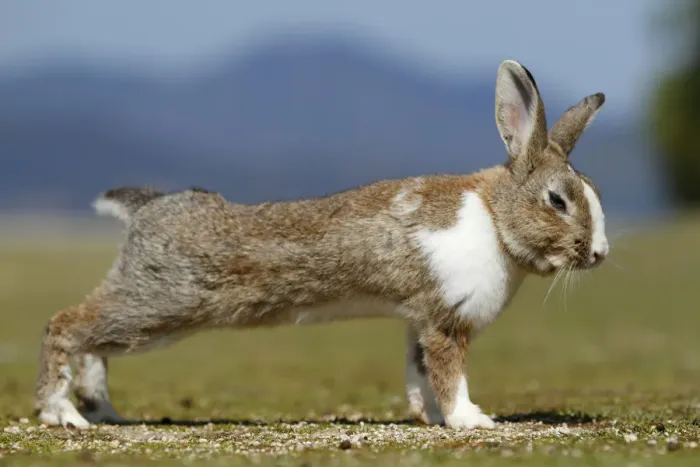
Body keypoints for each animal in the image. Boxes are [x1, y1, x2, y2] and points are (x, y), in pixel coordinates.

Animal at [34, 59, 608, 430]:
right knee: (64, 326)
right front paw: (473, 421)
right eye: (557, 200)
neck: (493, 218)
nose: (599, 254)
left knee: (91, 343)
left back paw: (103, 412)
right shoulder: (446, 321)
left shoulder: (420, 320)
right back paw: (64, 415)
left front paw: (430, 419)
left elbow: (420, 376)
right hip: (161, 304)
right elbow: (450, 375)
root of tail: (146, 208)